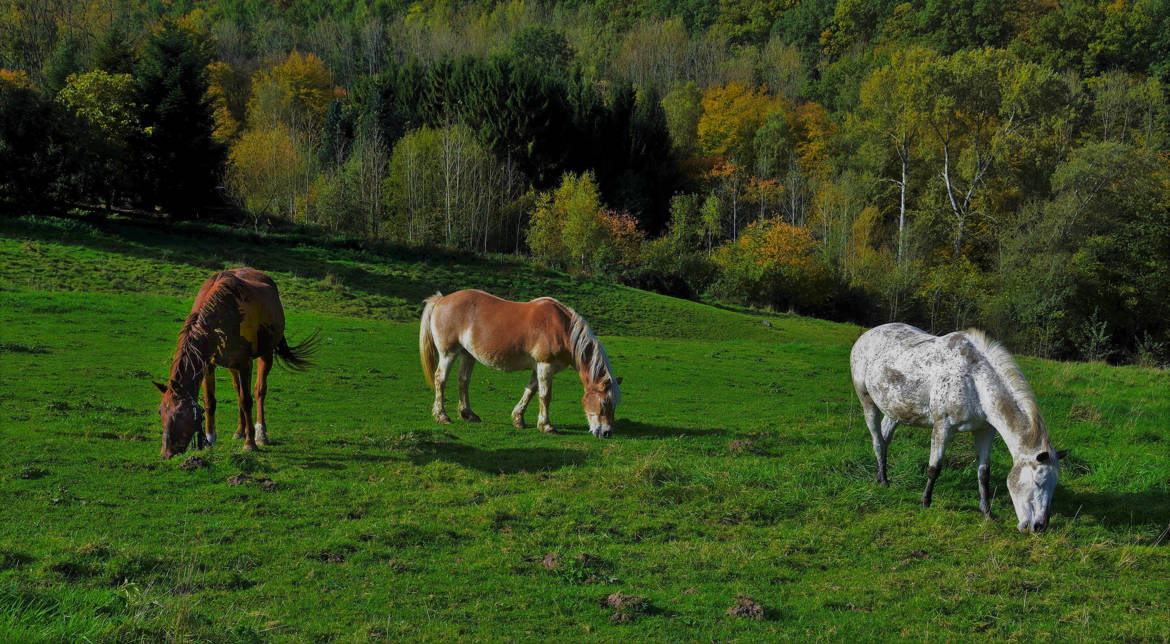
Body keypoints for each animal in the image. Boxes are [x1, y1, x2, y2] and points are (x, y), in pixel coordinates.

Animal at [155, 268, 322, 458]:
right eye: (161, 412)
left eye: (180, 414)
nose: (166, 453)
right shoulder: (208, 365)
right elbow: (210, 402)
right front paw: (210, 440)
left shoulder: (245, 363)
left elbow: (246, 400)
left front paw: (250, 443)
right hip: (232, 365)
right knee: (238, 390)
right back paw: (240, 431)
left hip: (265, 355)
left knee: (259, 391)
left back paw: (260, 434)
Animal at [418, 291, 622, 440]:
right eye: (604, 402)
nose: (607, 432)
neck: (563, 329)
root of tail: (442, 300)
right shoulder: (545, 366)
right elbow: (545, 396)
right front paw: (546, 426)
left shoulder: (537, 368)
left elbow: (530, 392)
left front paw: (518, 419)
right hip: (448, 354)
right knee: (440, 380)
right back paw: (442, 416)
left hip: (468, 355)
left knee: (463, 381)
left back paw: (468, 414)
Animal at [851, 323, 1071, 536]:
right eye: (1038, 482)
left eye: (1054, 485)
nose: (1039, 527)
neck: (975, 380)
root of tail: (865, 336)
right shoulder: (942, 427)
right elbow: (934, 468)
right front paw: (925, 502)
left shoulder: (985, 431)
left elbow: (984, 473)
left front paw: (987, 512)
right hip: (867, 402)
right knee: (877, 441)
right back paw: (884, 481)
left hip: (895, 410)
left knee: (885, 439)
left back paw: (880, 476)